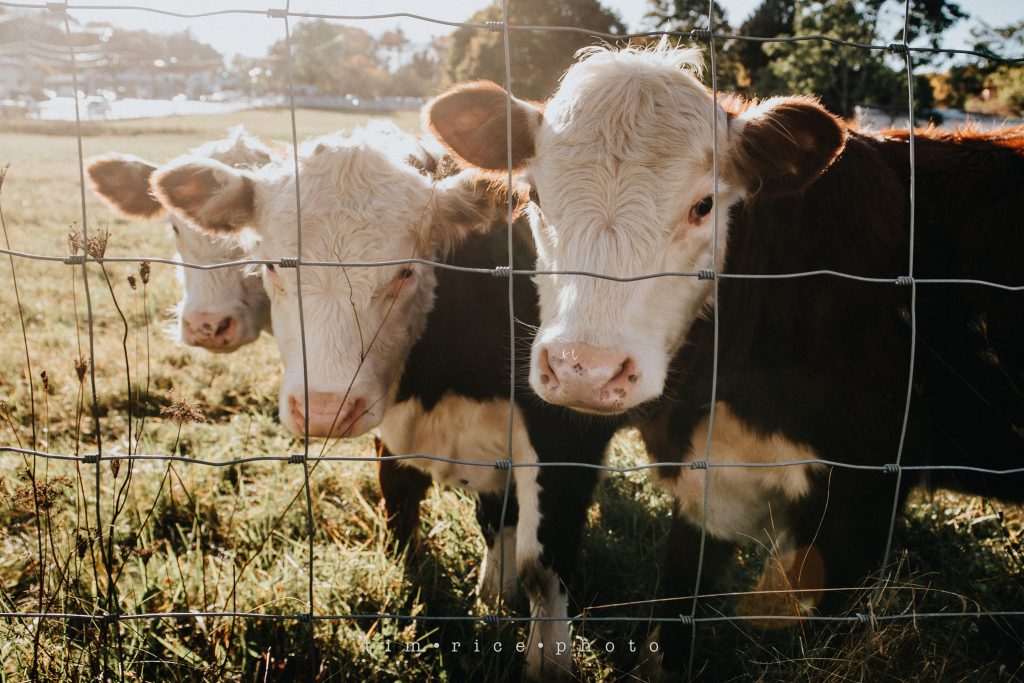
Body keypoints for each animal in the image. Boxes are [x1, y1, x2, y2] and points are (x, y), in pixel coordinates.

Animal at [147, 121, 620, 680]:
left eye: (406, 272)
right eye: (271, 267)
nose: (325, 409)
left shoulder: (565, 436)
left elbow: (542, 571)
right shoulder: (397, 438)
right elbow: (403, 515)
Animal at [425, 43, 1024, 677]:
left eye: (704, 205)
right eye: (535, 197)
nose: (585, 370)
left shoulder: (864, 497)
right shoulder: (714, 483)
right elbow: (664, 619)